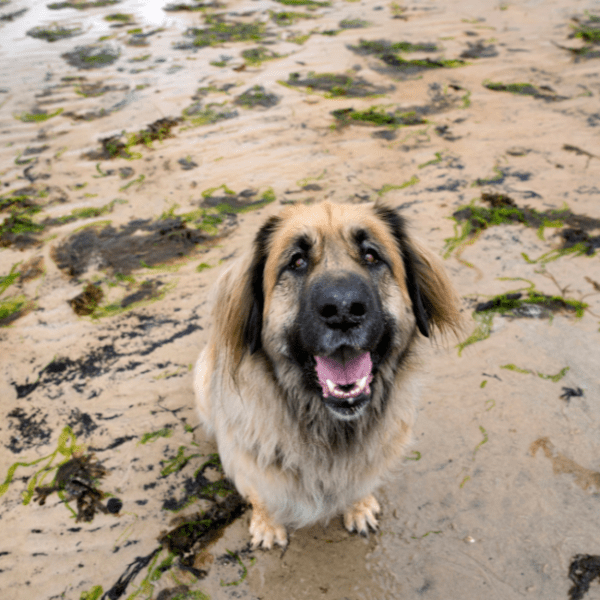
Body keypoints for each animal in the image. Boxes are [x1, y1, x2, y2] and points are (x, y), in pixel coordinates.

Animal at [192, 202, 460, 548]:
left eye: (371, 256)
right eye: (297, 261)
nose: (343, 309)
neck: (327, 426)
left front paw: (358, 506)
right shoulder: (247, 455)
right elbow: (259, 492)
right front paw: (267, 523)